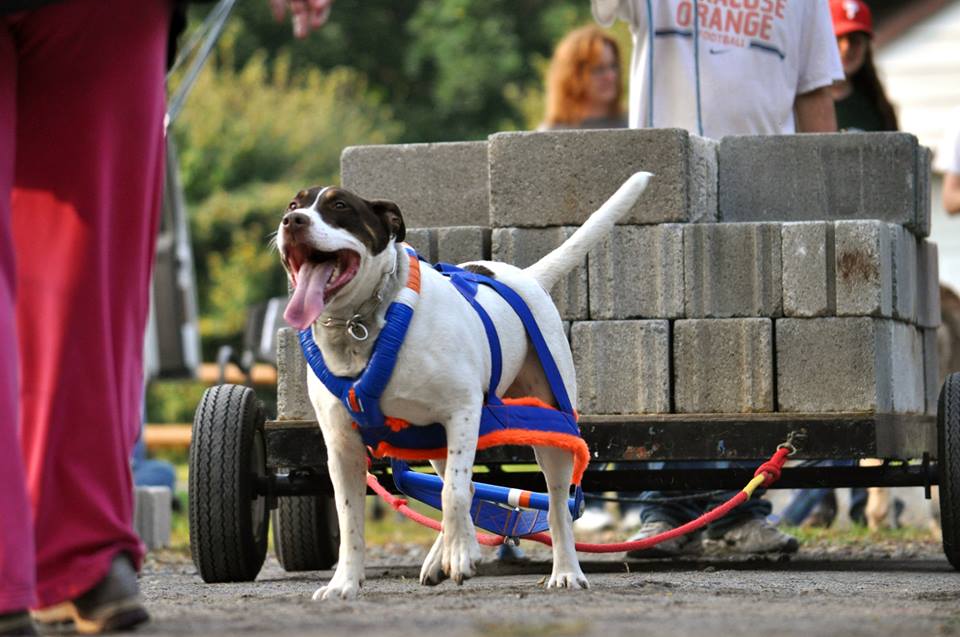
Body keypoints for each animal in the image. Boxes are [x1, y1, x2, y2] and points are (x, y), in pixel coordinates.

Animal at [278, 169, 652, 596]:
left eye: (340, 206)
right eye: (293, 205)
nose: (292, 222)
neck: (361, 324)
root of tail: (525, 277)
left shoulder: (462, 412)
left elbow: (453, 492)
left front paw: (461, 555)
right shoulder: (343, 446)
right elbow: (350, 517)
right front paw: (344, 583)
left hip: (550, 428)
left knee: (556, 505)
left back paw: (566, 572)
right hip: (432, 440)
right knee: (470, 489)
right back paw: (440, 557)